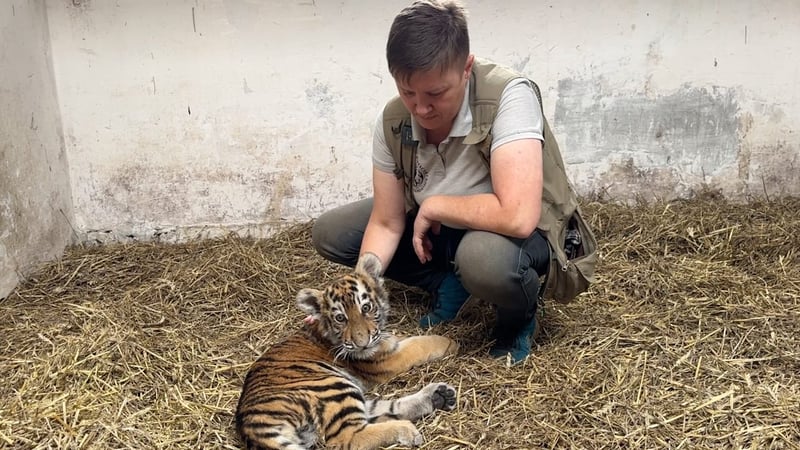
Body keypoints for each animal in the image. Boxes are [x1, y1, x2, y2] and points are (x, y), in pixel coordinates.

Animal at [235, 252, 460, 450]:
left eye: (366, 308)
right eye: (340, 318)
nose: (362, 344)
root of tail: (249, 423)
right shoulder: (386, 359)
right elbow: (419, 344)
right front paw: (451, 342)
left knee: (383, 409)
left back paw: (439, 395)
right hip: (332, 388)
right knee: (350, 436)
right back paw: (408, 429)